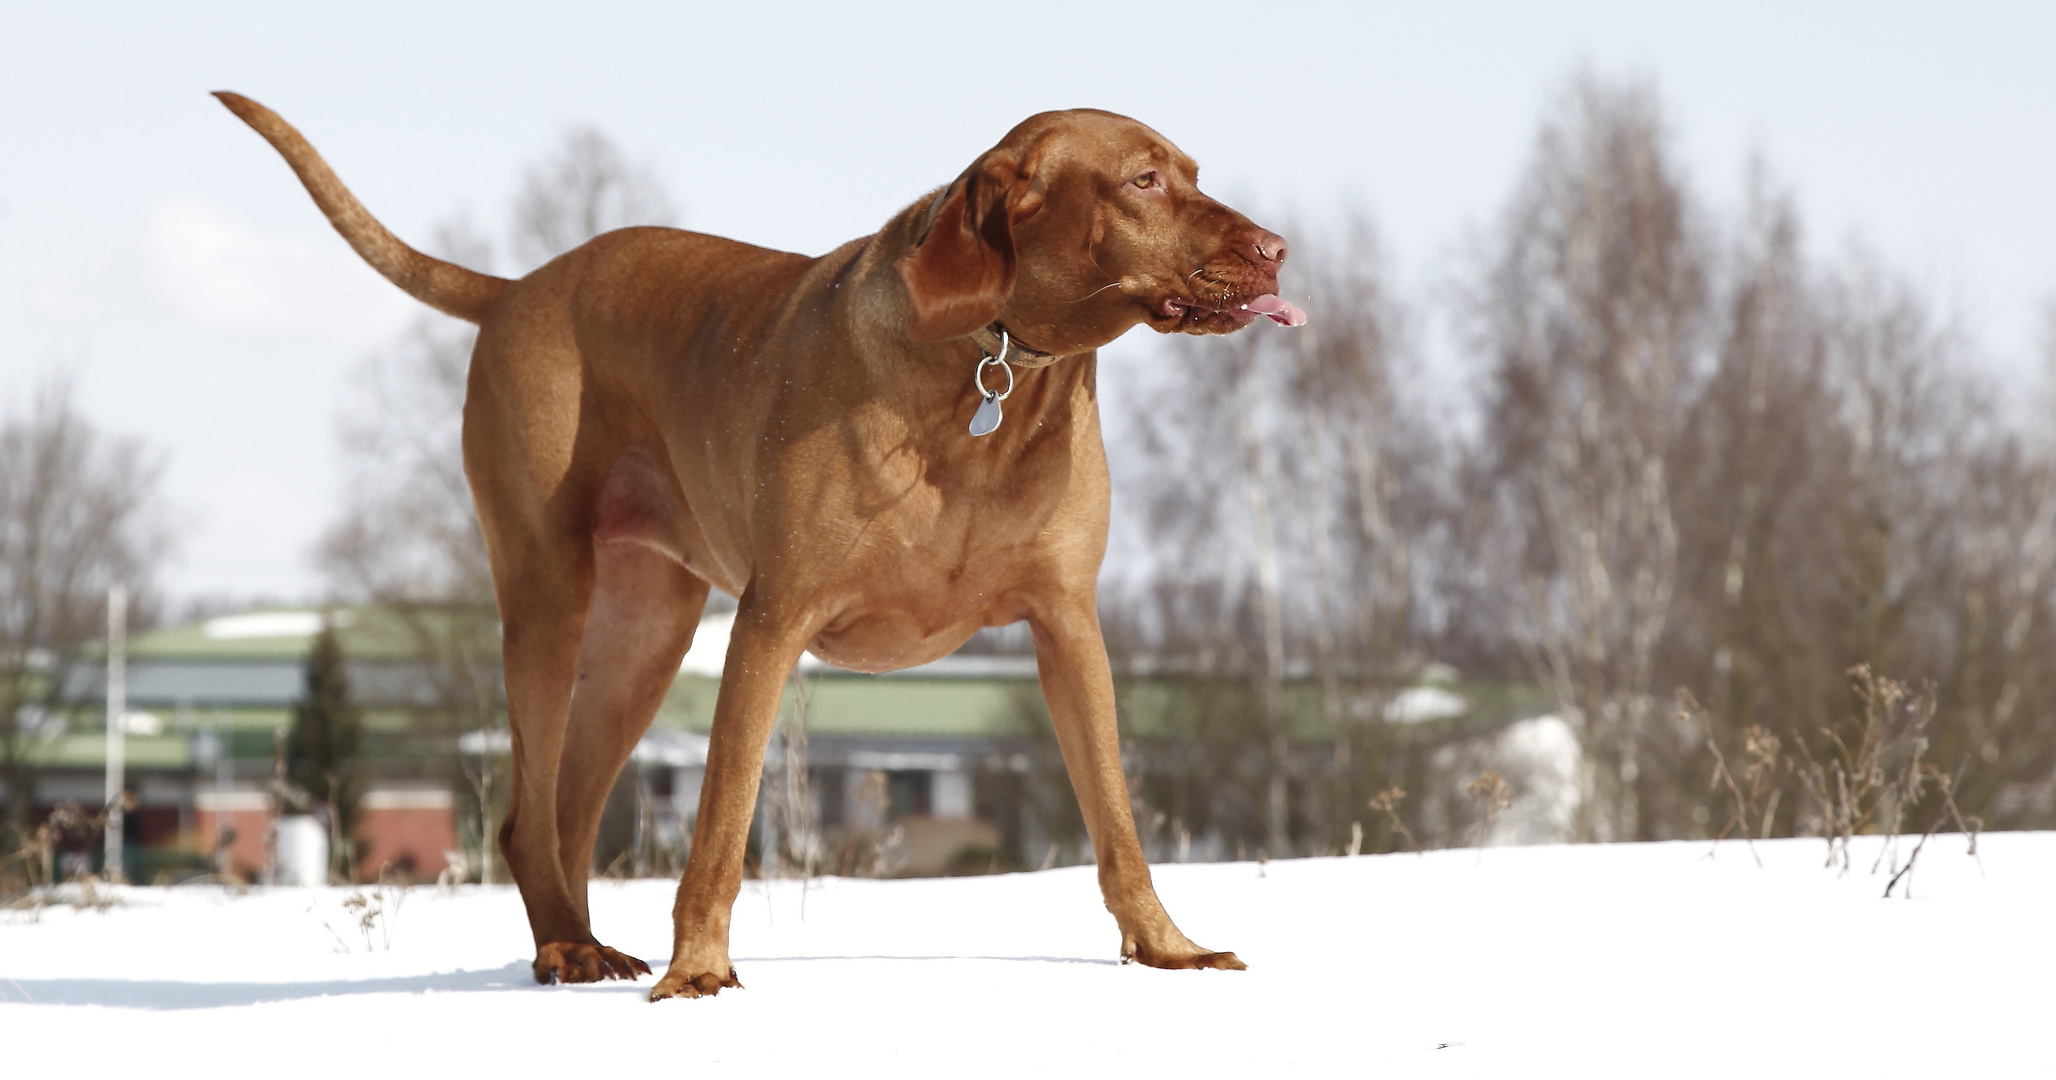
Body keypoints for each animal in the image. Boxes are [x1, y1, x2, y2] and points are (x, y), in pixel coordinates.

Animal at [216, 92, 1307, 995]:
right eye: (1143, 180)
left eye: (1192, 171)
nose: (1278, 248)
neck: (991, 363)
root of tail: (520, 285)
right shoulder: (772, 620)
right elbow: (721, 823)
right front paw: (699, 973)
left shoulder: (1068, 624)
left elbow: (1116, 817)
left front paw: (1167, 949)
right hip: (547, 591)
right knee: (531, 810)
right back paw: (566, 948)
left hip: (645, 631)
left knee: (567, 808)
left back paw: (583, 942)